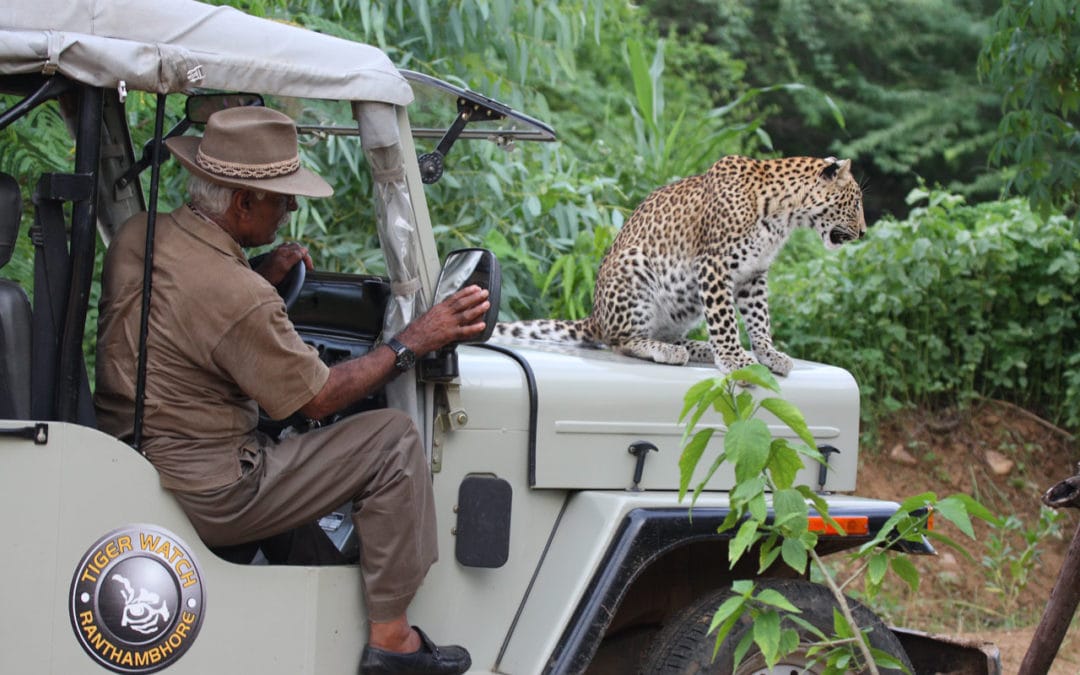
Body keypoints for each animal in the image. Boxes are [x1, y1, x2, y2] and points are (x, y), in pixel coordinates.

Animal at [494, 155, 864, 375]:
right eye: (857, 202)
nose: (863, 231)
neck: (785, 216)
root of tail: (596, 317)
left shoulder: (754, 275)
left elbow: (759, 319)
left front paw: (767, 354)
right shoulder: (714, 265)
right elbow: (725, 319)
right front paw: (735, 359)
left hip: (683, 304)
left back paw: (697, 348)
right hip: (636, 271)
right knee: (622, 341)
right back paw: (667, 350)